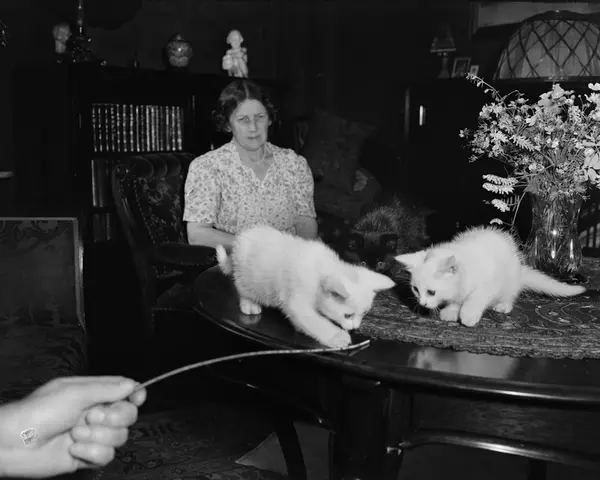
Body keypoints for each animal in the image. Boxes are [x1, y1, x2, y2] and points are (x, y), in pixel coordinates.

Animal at [216, 225, 395, 348]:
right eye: (347, 315)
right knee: (243, 290)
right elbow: (315, 321)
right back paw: (250, 305)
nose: (355, 327)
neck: (321, 270)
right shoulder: (297, 301)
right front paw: (337, 337)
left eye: (364, 313)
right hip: (247, 278)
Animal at [395, 225, 586, 327]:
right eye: (415, 289)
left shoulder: (489, 284)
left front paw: (467, 315)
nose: (422, 303)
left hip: (509, 280)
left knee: (510, 294)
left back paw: (503, 305)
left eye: (431, 292)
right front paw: (451, 311)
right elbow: (457, 300)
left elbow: (475, 298)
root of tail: (520, 269)